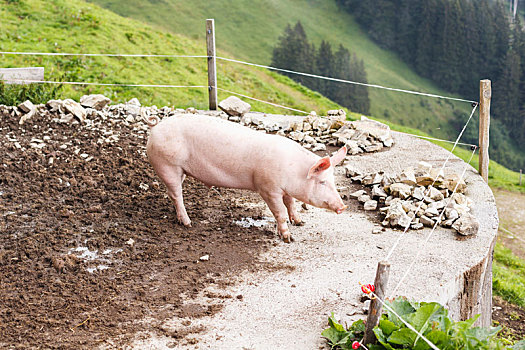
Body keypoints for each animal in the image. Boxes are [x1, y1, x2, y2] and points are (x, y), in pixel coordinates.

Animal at [143, 113, 348, 242]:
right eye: (322, 182)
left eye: (333, 181)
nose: (343, 207)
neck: (293, 170)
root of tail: (156, 126)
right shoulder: (267, 188)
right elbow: (280, 212)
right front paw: (288, 238)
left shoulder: (284, 190)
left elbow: (291, 203)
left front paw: (300, 222)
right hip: (167, 165)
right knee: (176, 194)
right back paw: (188, 223)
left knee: (173, 194)